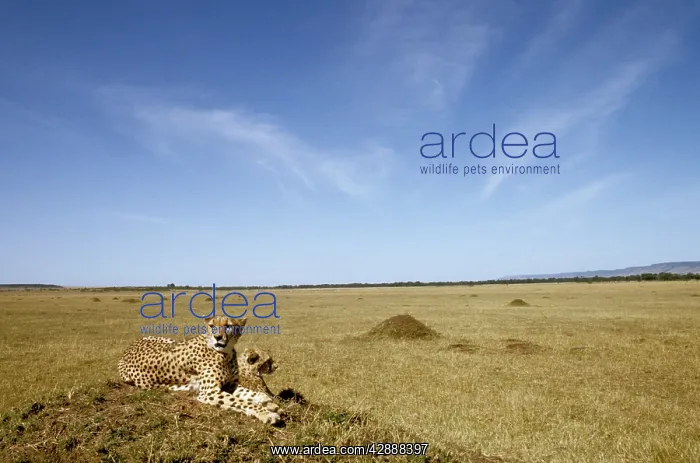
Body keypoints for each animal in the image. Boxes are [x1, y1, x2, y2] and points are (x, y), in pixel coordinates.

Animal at [117, 316, 282, 425]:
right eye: (212, 326)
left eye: (228, 326)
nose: (217, 337)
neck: (226, 353)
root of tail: (126, 350)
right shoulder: (209, 392)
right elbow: (242, 401)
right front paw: (265, 412)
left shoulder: (231, 385)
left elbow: (251, 394)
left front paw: (269, 403)